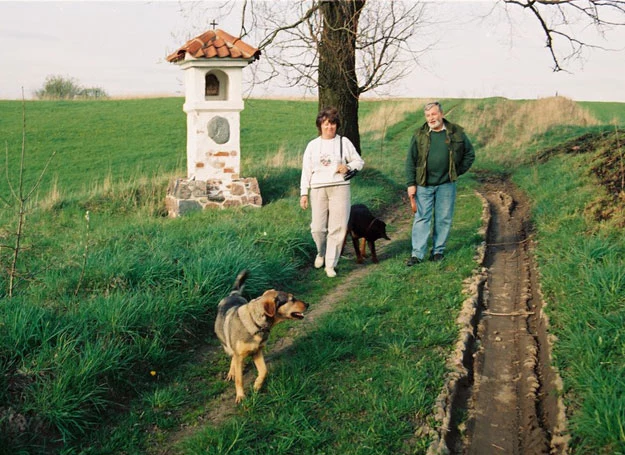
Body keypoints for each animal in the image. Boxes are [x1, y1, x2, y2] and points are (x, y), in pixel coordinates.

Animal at [213, 270, 308, 402]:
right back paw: (232, 372)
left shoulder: (257, 352)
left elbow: (264, 371)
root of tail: (233, 295)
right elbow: (239, 379)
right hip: (226, 344)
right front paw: (241, 396)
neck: (256, 323)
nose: (308, 304)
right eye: (292, 299)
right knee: (232, 354)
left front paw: (257, 385)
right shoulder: (240, 355)